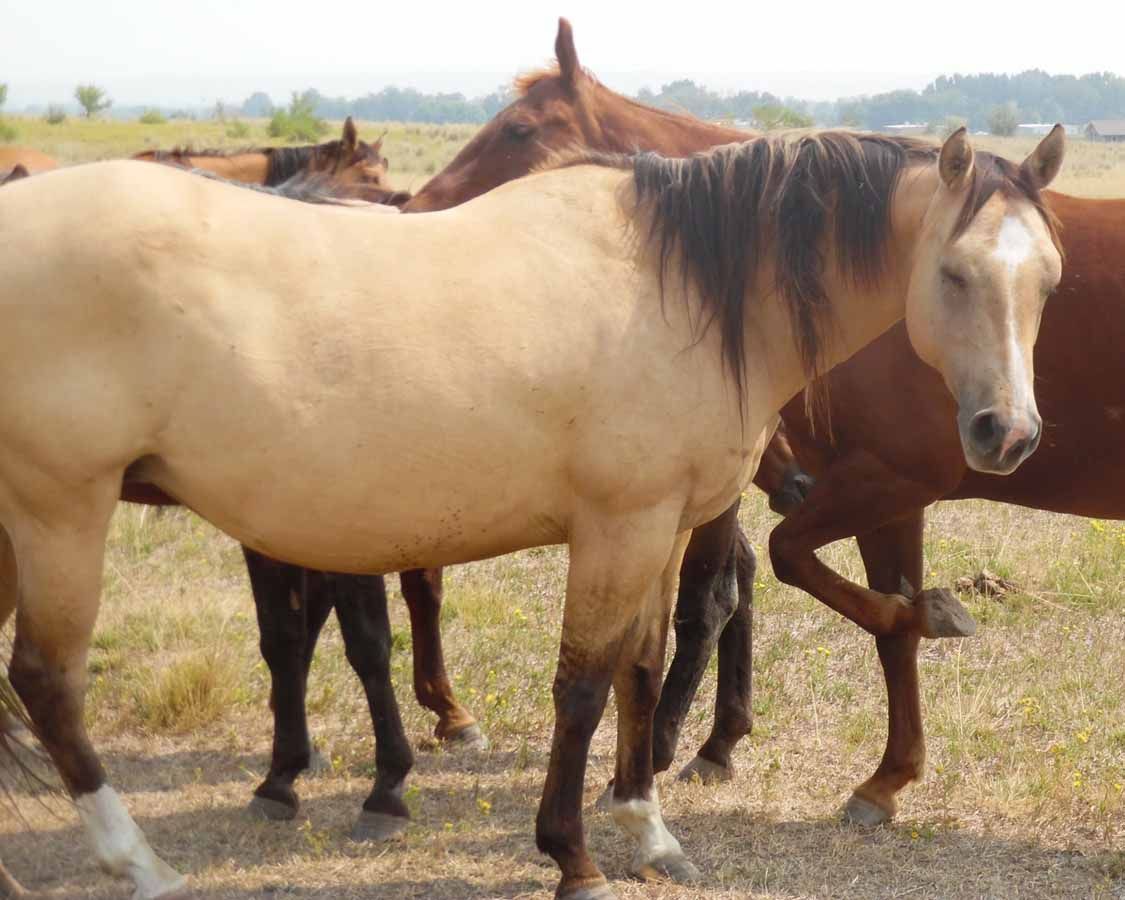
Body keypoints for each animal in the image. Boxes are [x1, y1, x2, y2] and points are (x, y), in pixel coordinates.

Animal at [0, 127, 1061, 899]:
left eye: (1048, 276)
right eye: (955, 274)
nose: (1007, 434)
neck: (679, 288)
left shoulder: (660, 529)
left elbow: (641, 668)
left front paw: (646, 831)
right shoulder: (617, 527)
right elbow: (584, 687)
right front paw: (575, 857)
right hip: (60, 512)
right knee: (48, 684)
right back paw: (140, 864)